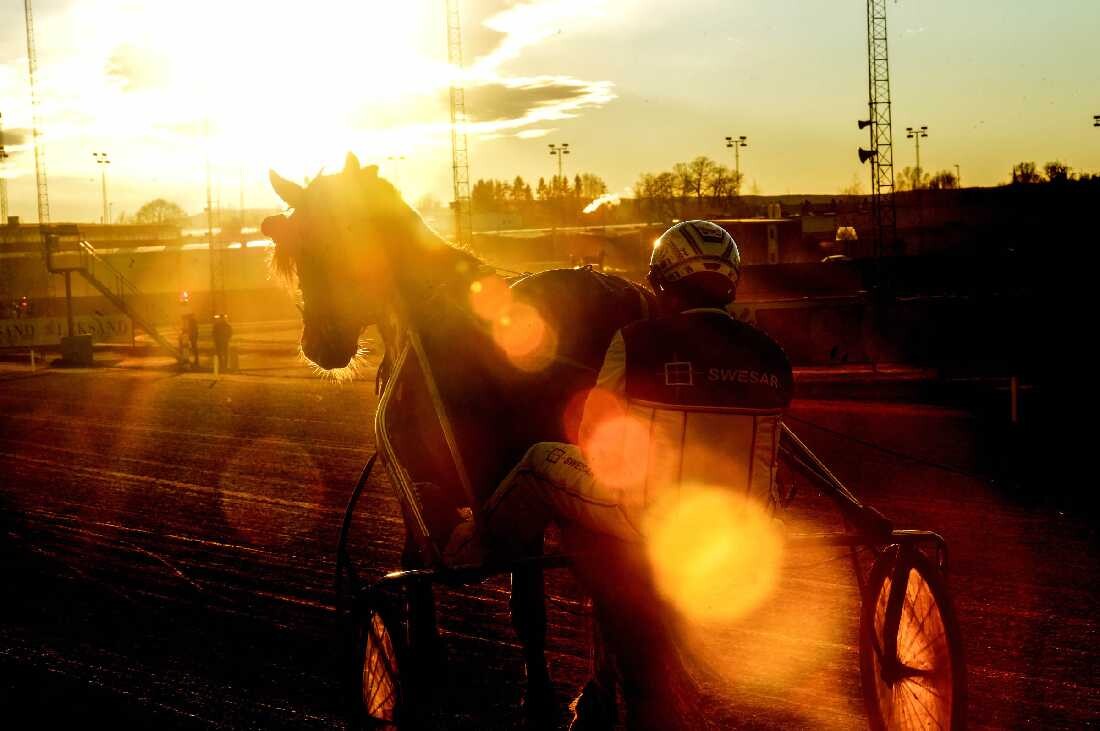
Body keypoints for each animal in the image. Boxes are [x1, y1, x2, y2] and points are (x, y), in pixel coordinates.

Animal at [260, 153, 655, 716]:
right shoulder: (426, 494)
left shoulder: (492, 494)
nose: (322, 342)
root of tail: (619, 290)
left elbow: (517, 608)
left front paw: (536, 699)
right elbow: (427, 585)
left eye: (351, 234)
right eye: (300, 244)